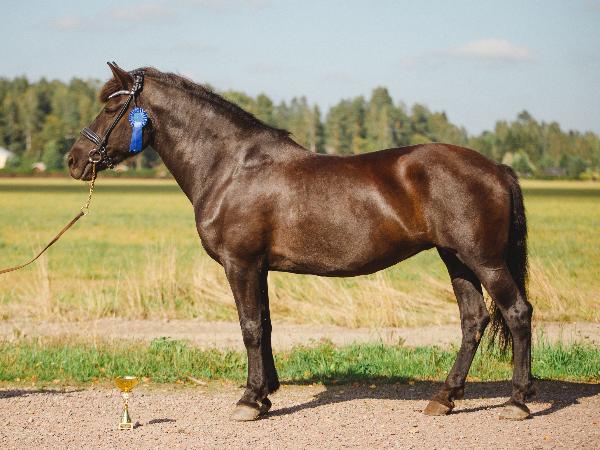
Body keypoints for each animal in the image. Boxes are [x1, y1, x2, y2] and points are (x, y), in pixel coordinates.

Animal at [68, 63, 534, 422]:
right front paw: (266, 393)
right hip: (457, 259)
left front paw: (249, 400)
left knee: (517, 312)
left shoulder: (240, 264)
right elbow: (266, 325)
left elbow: (250, 328)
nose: (73, 160)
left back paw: (517, 401)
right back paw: (445, 398)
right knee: (474, 320)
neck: (232, 168)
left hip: (484, 260)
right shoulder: (259, 267)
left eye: (111, 107)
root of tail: (497, 168)